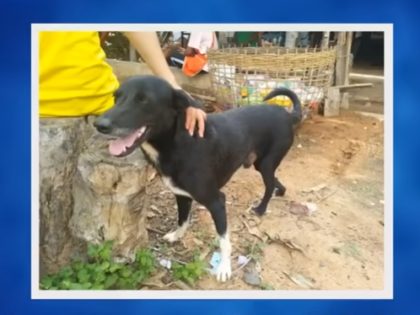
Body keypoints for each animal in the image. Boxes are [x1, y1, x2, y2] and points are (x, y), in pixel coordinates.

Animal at [94, 75, 302, 282]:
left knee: (269, 184)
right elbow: (182, 219)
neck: (176, 144)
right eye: (116, 97)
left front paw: (224, 267)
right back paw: (280, 192)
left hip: (266, 163)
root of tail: (287, 114)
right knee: (275, 180)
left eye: (143, 100)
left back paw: (261, 208)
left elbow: (224, 240)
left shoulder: (217, 201)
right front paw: (176, 235)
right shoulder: (181, 195)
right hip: (261, 163)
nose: (99, 125)